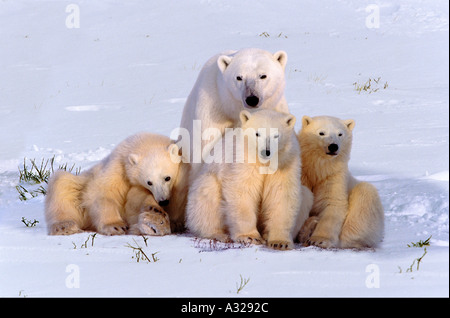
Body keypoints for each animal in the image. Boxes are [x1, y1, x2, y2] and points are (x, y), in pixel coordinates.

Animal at [44, 132, 181, 236]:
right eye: (149, 182)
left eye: (167, 178)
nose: (163, 201)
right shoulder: (117, 168)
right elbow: (101, 193)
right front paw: (116, 226)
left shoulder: (135, 185)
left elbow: (136, 201)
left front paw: (155, 216)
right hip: (79, 185)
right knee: (61, 183)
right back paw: (64, 226)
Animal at [171, 47, 290, 231]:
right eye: (239, 77)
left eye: (263, 75)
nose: (252, 99)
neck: (232, 109)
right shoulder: (212, 111)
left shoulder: (276, 109)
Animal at [186, 109, 312, 251]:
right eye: (257, 133)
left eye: (276, 135)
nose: (266, 151)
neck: (264, 162)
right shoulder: (243, 159)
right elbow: (243, 191)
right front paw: (250, 237)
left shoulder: (286, 161)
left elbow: (282, 194)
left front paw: (280, 242)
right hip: (205, 184)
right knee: (207, 195)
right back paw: (219, 234)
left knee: (306, 195)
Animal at [298, 115, 384, 250]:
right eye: (321, 133)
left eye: (340, 134)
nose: (333, 146)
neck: (318, 169)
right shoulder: (303, 173)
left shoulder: (335, 176)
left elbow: (333, 203)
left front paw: (319, 240)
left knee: (364, 194)